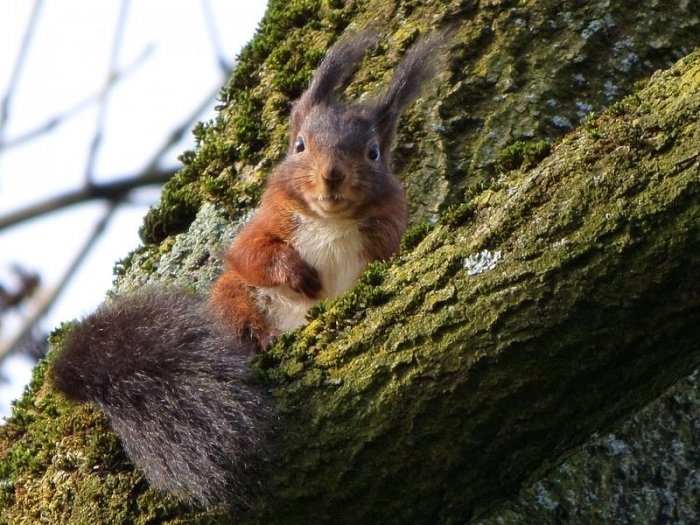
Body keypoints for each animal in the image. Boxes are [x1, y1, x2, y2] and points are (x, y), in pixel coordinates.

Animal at [50, 29, 447, 509]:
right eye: (299, 146)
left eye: (373, 153)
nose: (332, 175)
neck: (330, 222)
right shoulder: (263, 228)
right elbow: (250, 255)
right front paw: (299, 275)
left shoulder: (387, 235)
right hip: (233, 300)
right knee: (241, 318)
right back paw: (264, 337)